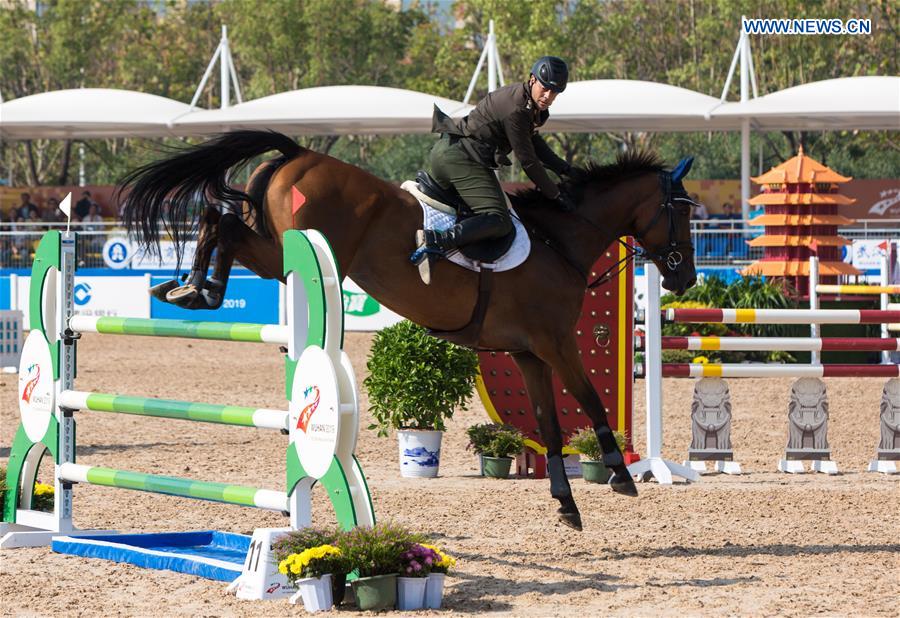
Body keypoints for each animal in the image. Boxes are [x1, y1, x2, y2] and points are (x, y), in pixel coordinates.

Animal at [118, 131, 696, 528]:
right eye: (683, 213)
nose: (686, 277)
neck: (562, 242)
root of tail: (298, 152)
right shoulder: (555, 344)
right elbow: (591, 400)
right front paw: (620, 475)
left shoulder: (529, 354)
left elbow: (550, 424)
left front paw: (566, 504)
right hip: (287, 250)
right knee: (222, 222)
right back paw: (200, 288)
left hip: (275, 249)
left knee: (219, 221)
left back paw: (193, 289)